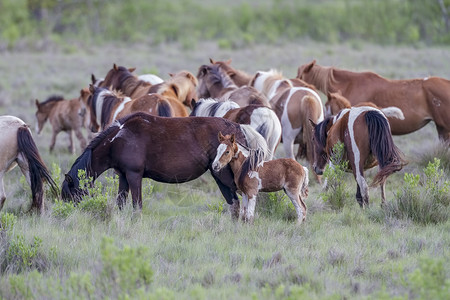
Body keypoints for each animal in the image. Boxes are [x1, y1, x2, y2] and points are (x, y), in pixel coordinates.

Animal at [61, 111, 268, 217]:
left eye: (71, 195)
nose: (69, 215)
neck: (120, 137)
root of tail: (238, 127)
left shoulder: (134, 176)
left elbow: (137, 206)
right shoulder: (123, 177)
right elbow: (120, 203)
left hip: (223, 176)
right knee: (234, 204)